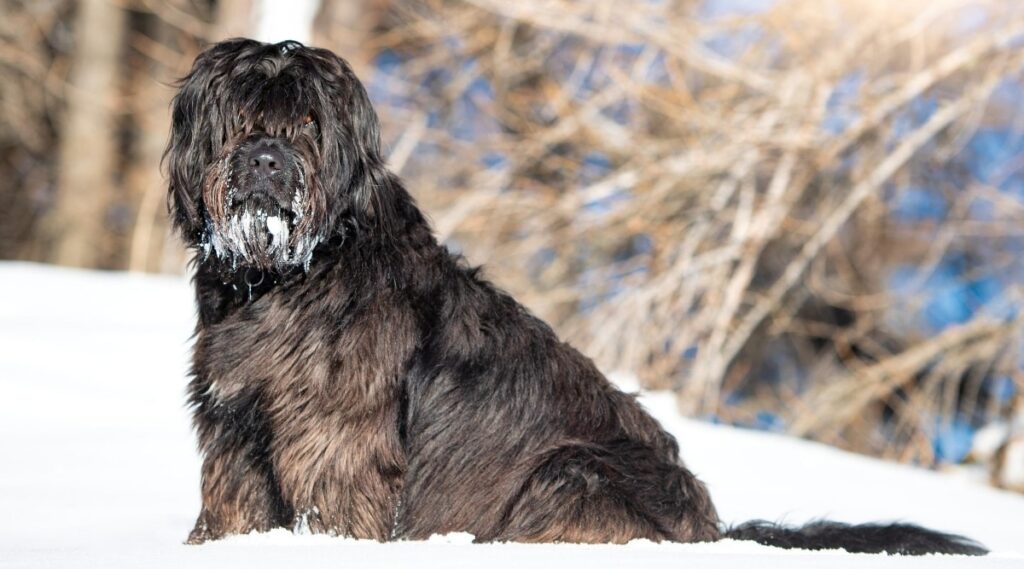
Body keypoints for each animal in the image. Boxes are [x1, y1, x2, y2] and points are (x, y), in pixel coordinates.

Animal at [163, 38, 987, 556]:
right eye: (242, 118)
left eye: (309, 120)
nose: (266, 160)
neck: (288, 275)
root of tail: (714, 532)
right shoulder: (234, 426)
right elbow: (234, 500)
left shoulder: (337, 434)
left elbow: (335, 497)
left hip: (570, 468)